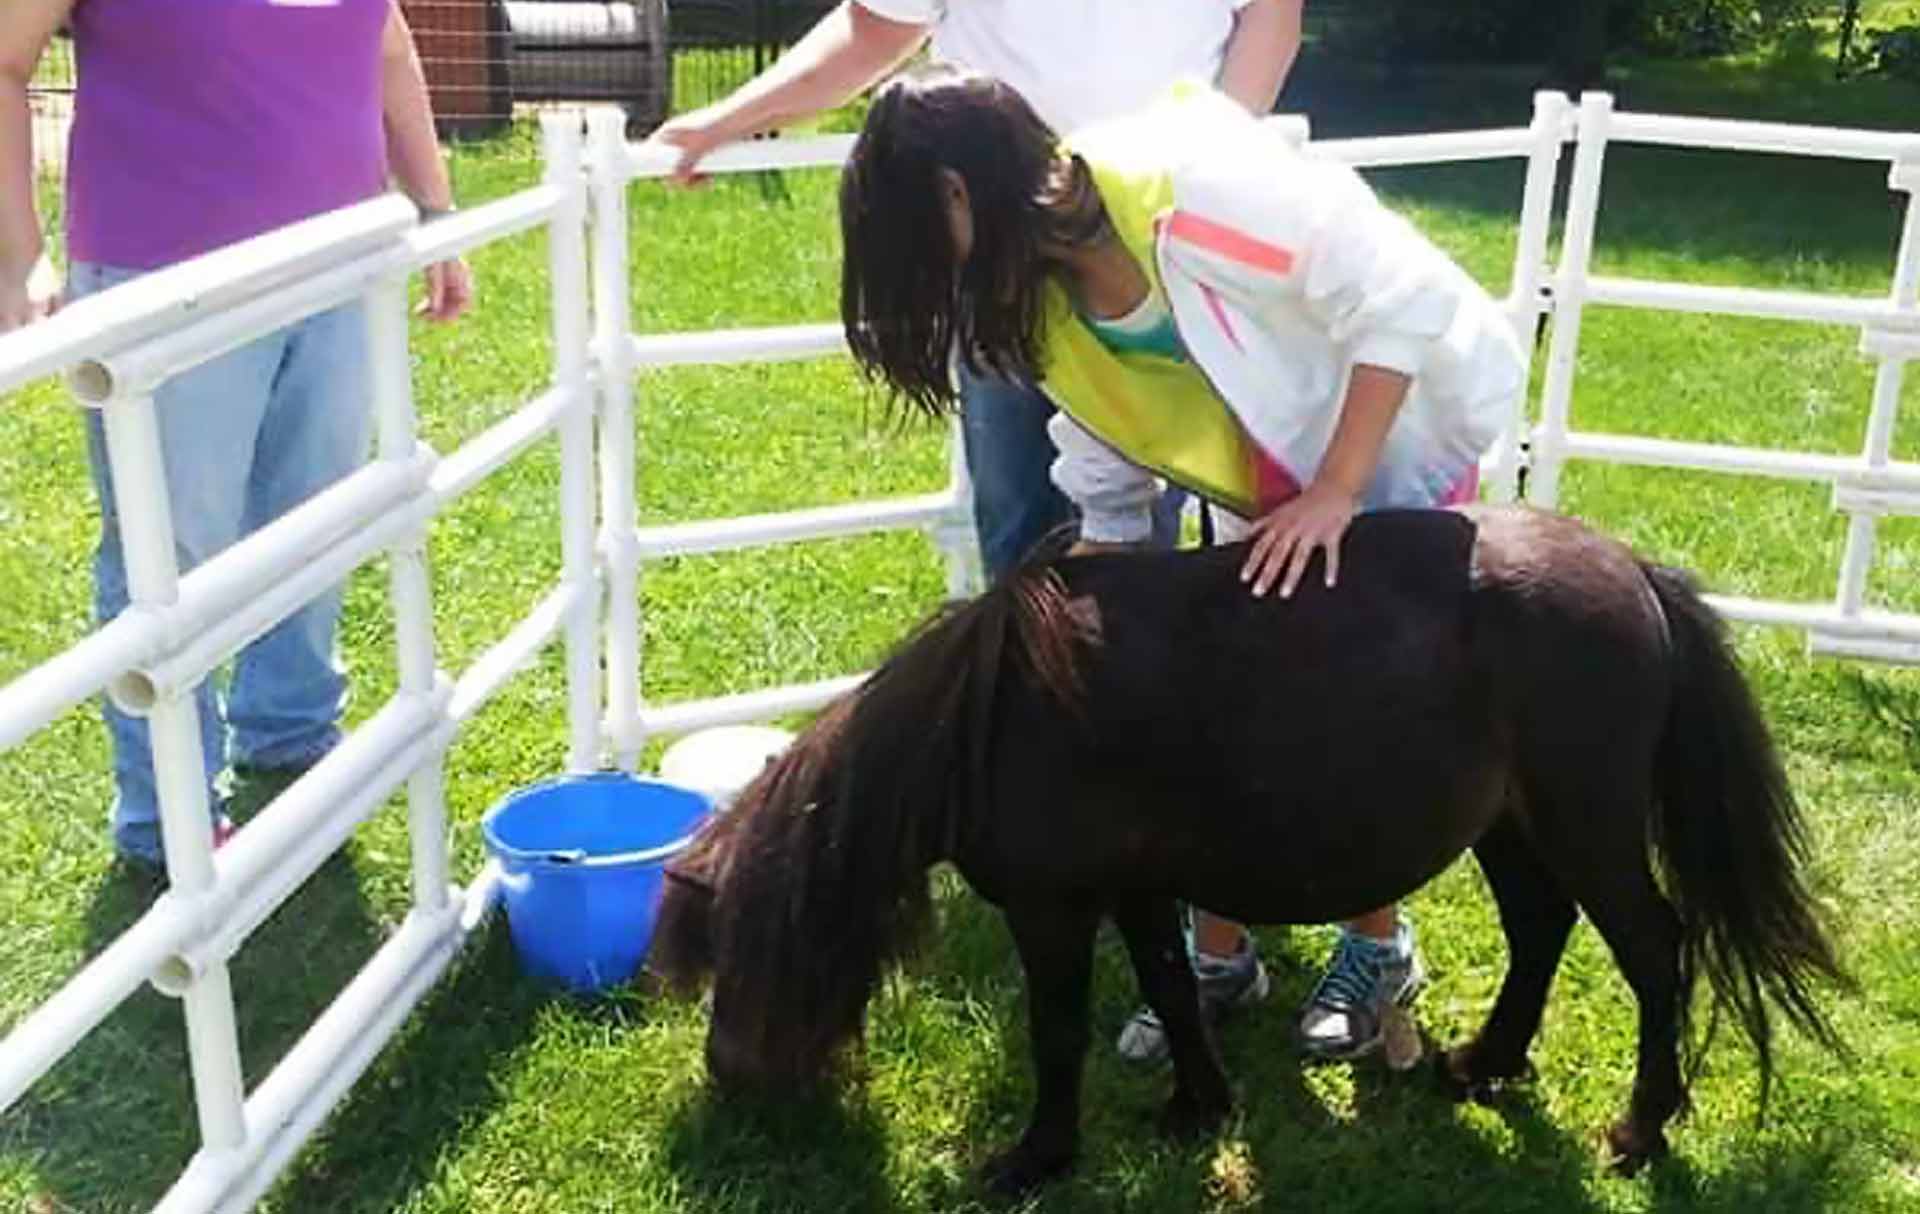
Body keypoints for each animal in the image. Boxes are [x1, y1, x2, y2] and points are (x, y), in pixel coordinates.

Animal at [647, 502, 1849, 1195]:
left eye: (742, 954)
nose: (730, 1083)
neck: (991, 717)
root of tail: (1633, 569)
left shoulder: (1053, 907)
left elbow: (1055, 1031)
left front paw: (1036, 1158)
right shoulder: (1136, 890)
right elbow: (1175, 989)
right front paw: (1198, 1106)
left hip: (1586, 821)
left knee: (1654, 951)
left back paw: (1640, 1129)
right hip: (1512, 825)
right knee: (1540, 927)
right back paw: (1483, 1064)